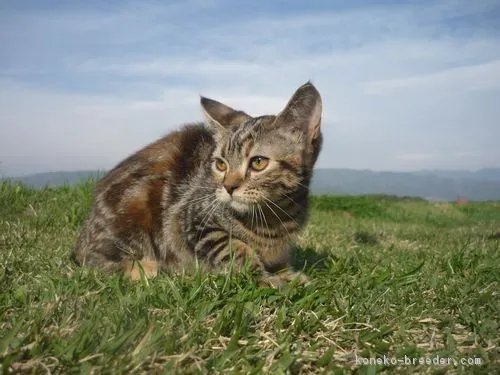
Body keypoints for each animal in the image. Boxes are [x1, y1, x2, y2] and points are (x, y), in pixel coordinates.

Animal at [70, 82, 322, 288]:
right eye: (220, 164)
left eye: (258, 162)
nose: (228, 187)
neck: (276, 217)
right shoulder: (195, 222)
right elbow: (234, 248)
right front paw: (266, 277)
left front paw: (287, 273)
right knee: (94, 262)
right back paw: (143, 268)